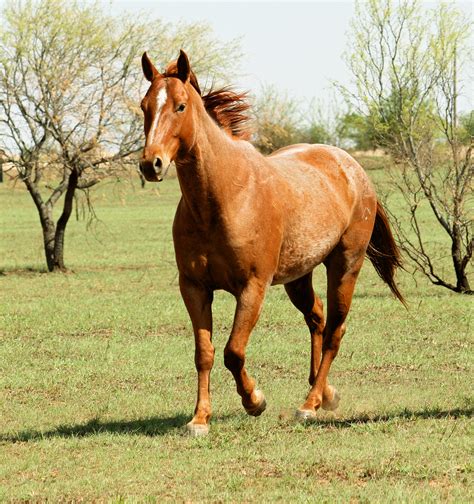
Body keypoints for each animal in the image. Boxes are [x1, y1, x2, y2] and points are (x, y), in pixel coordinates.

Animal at [137, 52, 404, 438]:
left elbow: (233, 351)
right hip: (299, 276)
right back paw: (325, 393)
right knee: (317, 319)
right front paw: (200, 419)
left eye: (180, 106)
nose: (150, 163)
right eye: (144, 106)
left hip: (345, 266)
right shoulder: (194, 287)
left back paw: (310, 404)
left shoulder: (253, 287)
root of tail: (353, 167)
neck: (225, 196)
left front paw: (255, 401)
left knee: (335, 331)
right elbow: (204, 352)